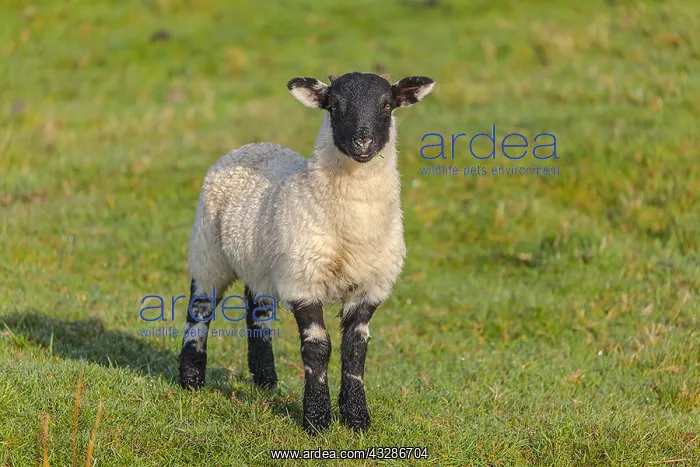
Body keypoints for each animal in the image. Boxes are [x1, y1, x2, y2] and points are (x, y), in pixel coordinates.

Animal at [178, 71, 435, 434]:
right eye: (335, 106)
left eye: (387, 105)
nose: (363, 142)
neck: (350, 228)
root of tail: (253, 145)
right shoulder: (303, 281)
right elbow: (318, 347)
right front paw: (317, 419)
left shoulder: (370, 286)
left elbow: (356, 349)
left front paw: (357, 418)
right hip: (208, 249)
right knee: (200, 307)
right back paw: (190, 378)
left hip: (261, 264)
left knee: (257, 311)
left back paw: (265, 378)